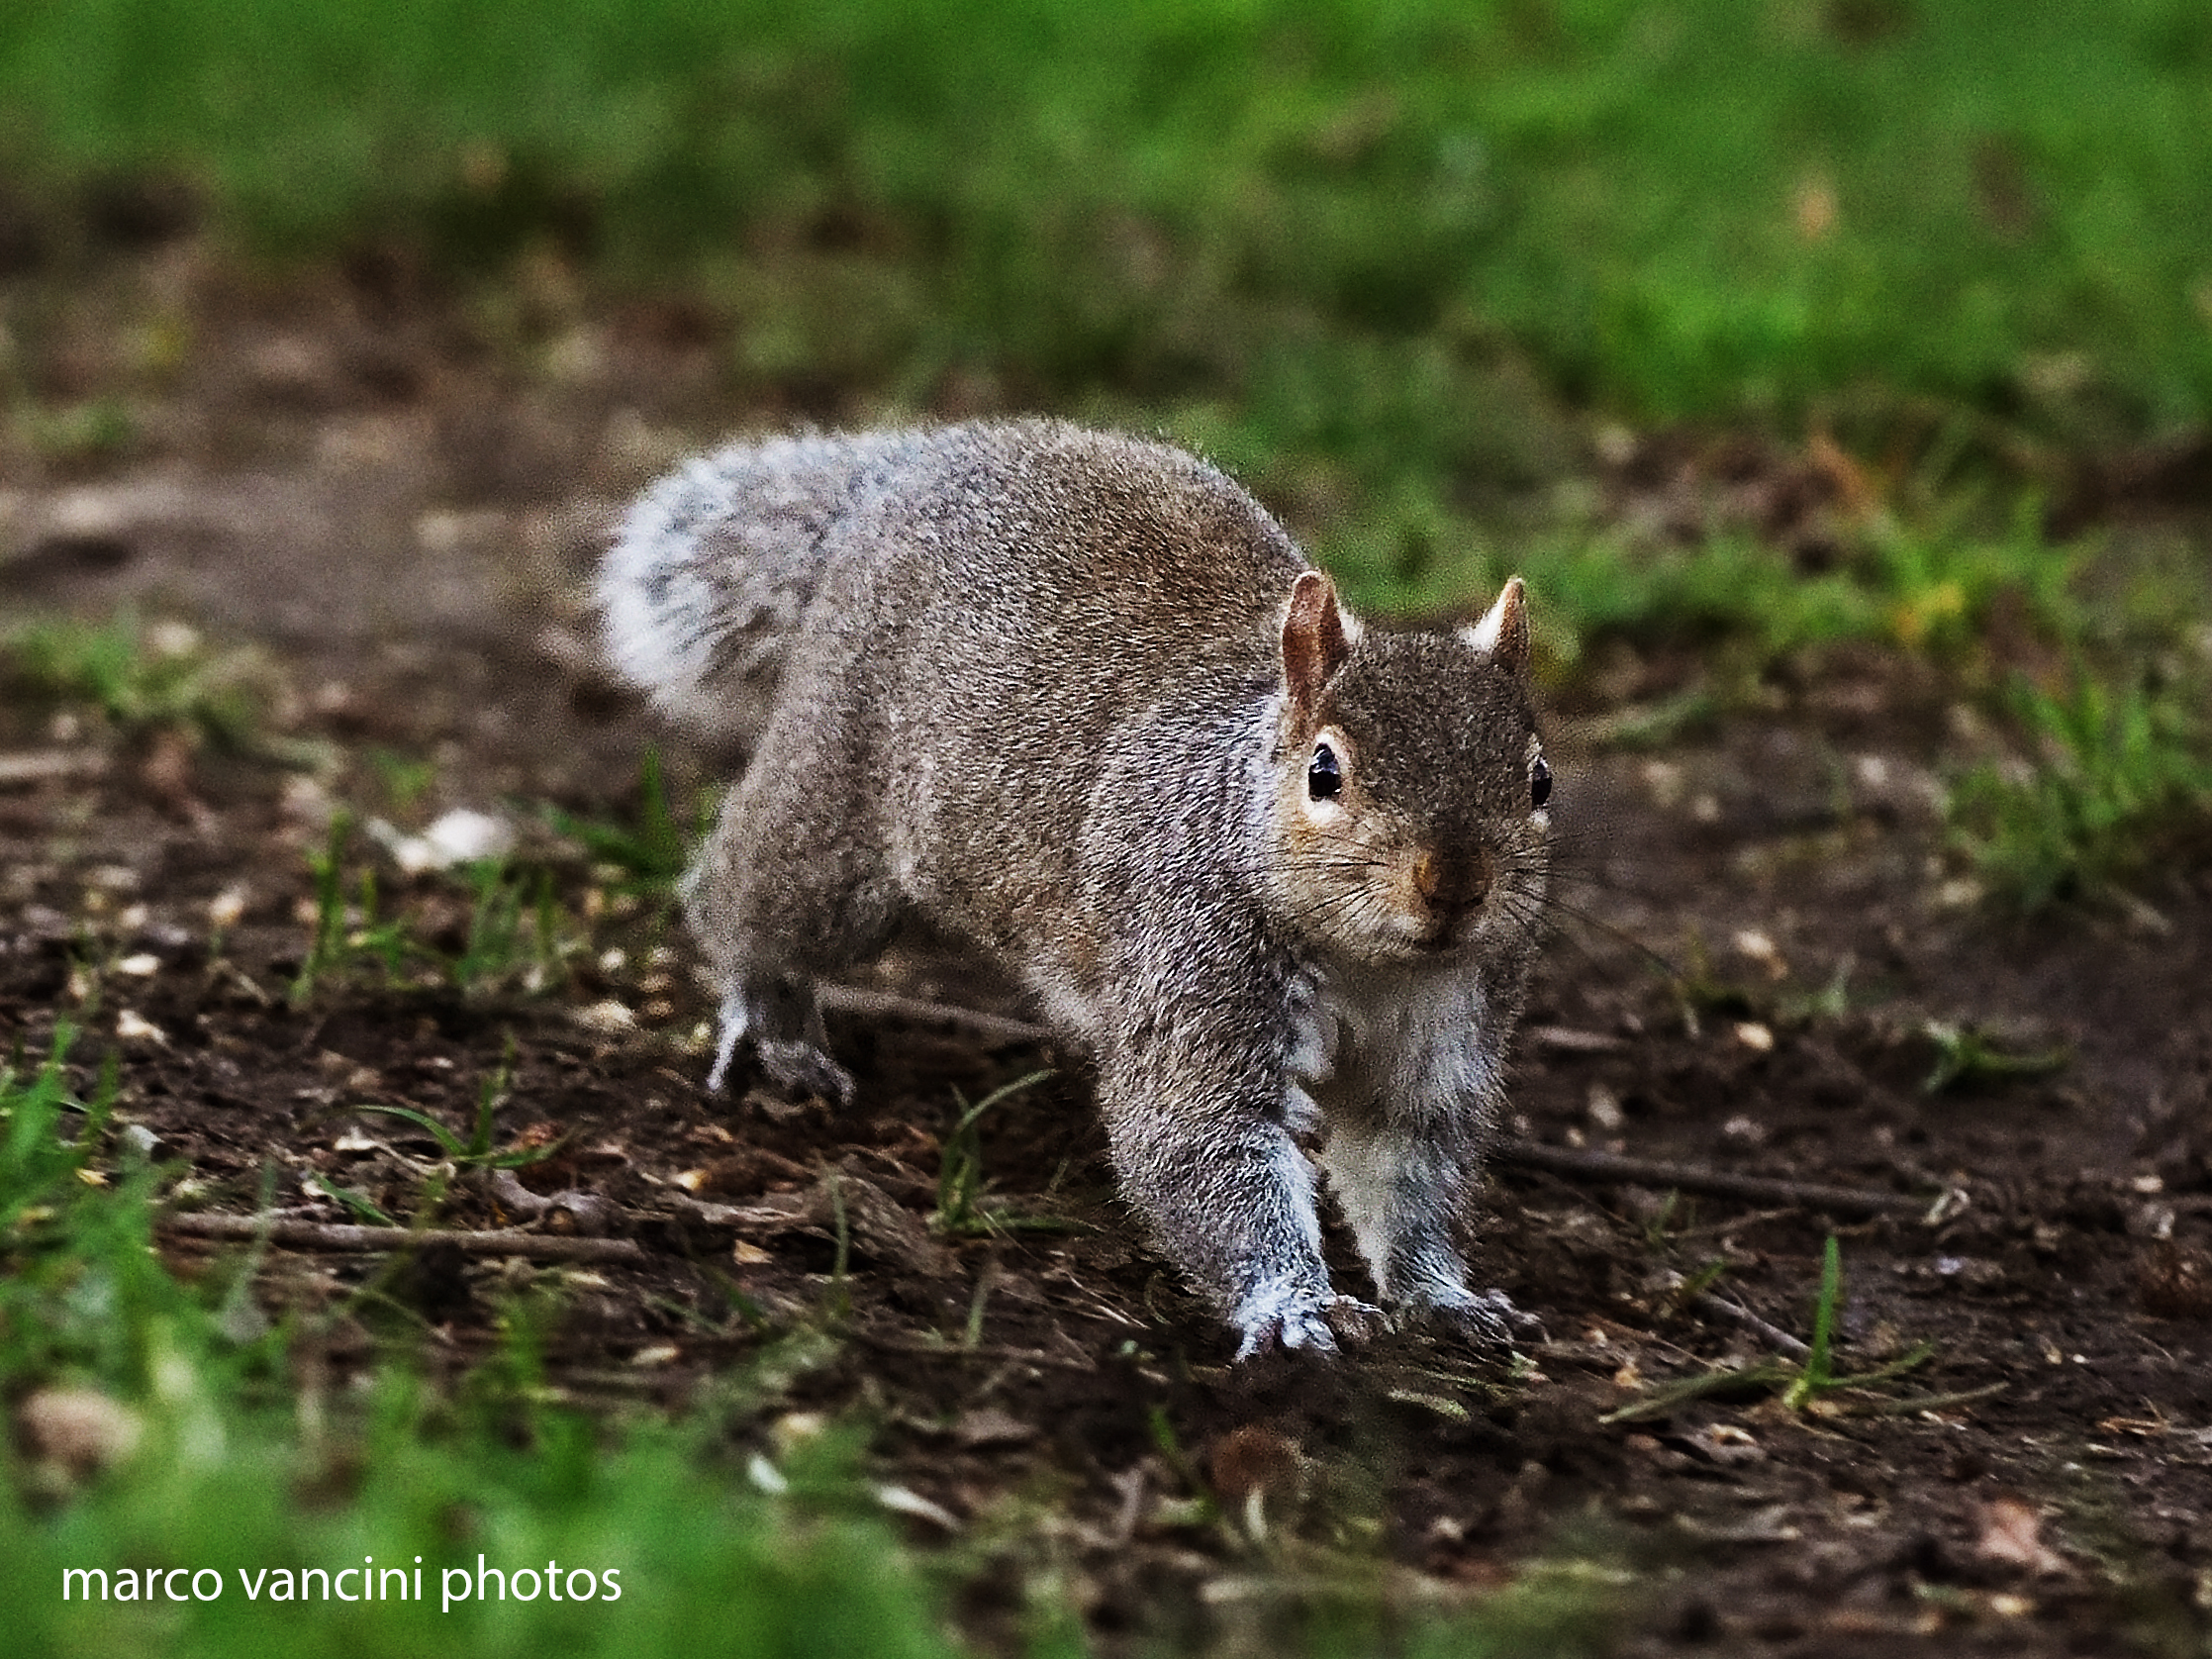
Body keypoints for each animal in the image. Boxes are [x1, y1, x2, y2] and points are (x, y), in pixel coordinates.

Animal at [599, 418, 1552, 1358]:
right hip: (839, 807)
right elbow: (1196, 1136)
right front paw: (1292, 1306)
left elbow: (1409, 1166)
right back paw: (773, 1021)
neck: (1371, 963)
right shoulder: (1193, 954)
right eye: (1324, 772)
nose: (1454, 886)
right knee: (749, 898)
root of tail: (902, 470)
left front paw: (1441, 1296)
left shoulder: (1449, 1020)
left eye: (1539, 779)